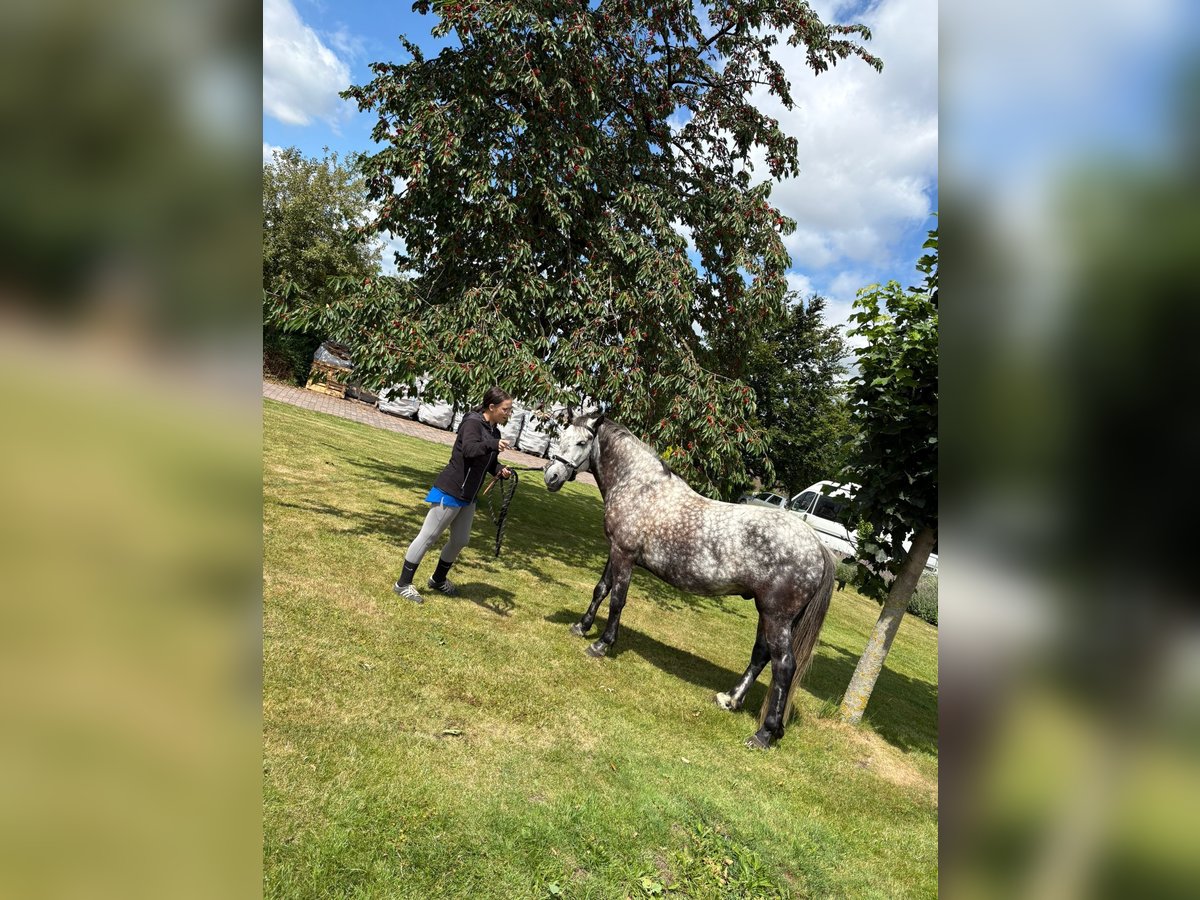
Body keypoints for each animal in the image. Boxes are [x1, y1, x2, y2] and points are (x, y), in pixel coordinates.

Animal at [543, 413, 836, 749]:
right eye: (561, 436)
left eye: (582, 442)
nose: (551, 476)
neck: (641, 488)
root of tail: (817, 545)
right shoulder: (615, 551)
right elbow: (601, 589)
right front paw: (581, 627)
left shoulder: (624, 556)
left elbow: (617, 600)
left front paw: (602, 644)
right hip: (768, 613)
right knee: (761, 655)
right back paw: (730, 700)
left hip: (777, 616)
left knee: (784, 665)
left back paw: (764, 734)